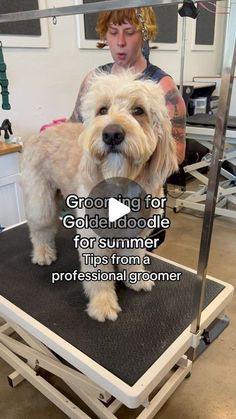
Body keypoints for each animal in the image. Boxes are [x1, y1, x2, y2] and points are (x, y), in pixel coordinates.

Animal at [21, 71, 177, 322]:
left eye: (139, 110)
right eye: (102, 110)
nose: (112, 134)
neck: (121, 182)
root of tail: (40, 134)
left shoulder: (137, 231)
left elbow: (132, 257)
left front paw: (136, 279)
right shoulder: (93, 237)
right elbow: (99, 274)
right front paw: (102, 304)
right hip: (40, 201)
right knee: (40, 230)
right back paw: (43, 253)